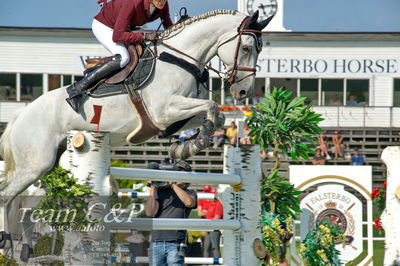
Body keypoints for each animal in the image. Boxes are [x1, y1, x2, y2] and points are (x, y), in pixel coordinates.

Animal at [0, 9, 272, 251]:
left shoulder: (177, 115)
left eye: (259, 49)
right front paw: (193, 144)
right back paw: (6, 240)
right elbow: (213, 106)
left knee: (25, 208)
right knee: (6, 196)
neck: (180, 60)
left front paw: (183, 147)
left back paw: (21, 249)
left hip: (47, 170)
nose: (244, 91)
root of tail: (22, 113)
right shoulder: (165, 110)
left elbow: (216, 116)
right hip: (35, 165)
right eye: (246, 48)